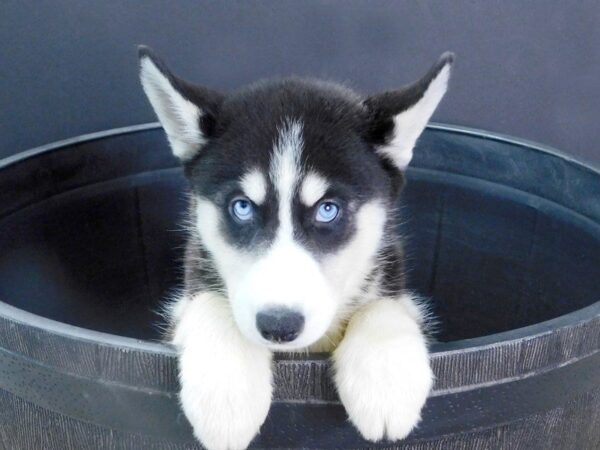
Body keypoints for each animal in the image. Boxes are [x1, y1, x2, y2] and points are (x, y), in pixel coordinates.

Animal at [138, 46, 452, 450]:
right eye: (242, 206)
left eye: (328, 209)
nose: (279, 325)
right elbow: (209, 301)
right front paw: (227, 397)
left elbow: (386, 304)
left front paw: (386, 382)